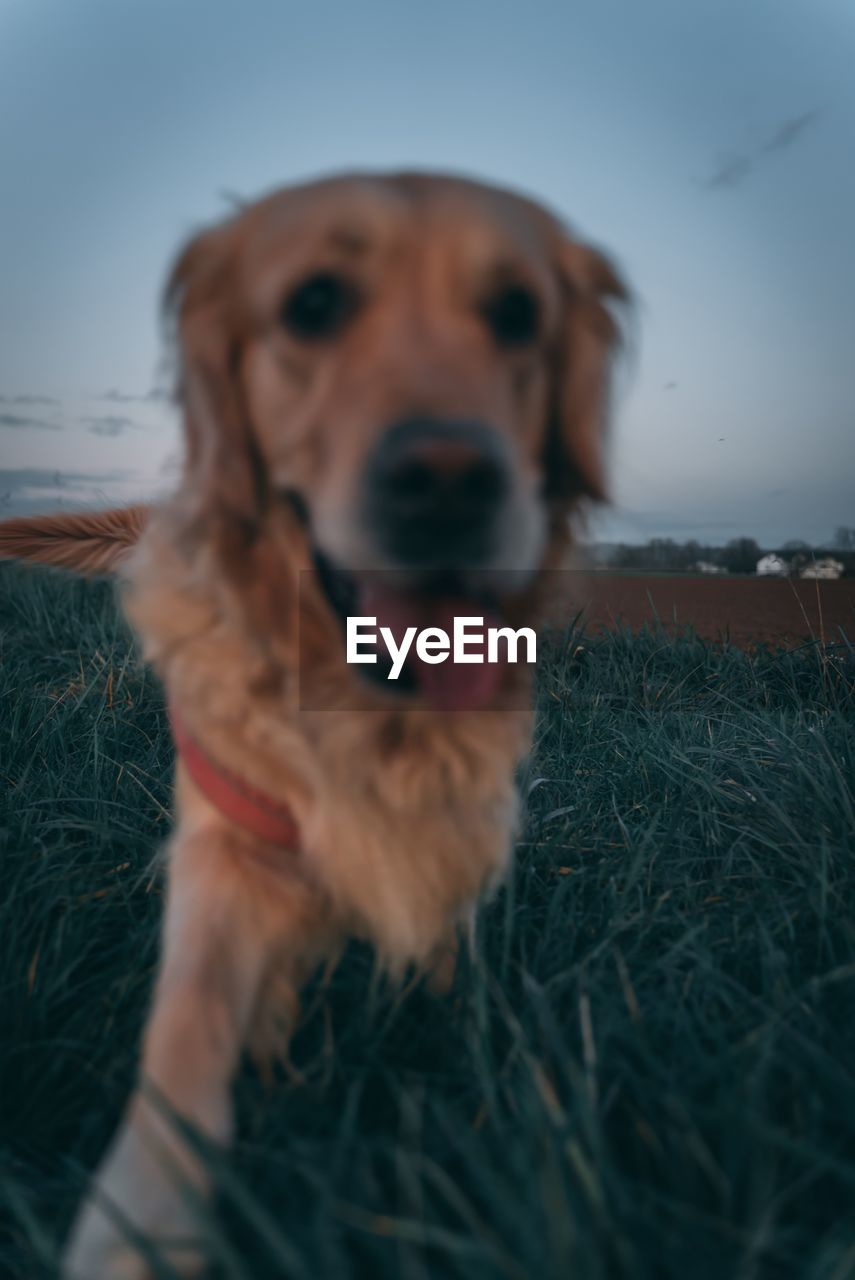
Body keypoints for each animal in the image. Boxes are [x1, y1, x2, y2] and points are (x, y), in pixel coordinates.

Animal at [0, 172, 627, 1280]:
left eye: (517, 313)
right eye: (313, 304)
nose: (449, 478)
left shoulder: (459, 828)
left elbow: (448, 963)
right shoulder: (230, 846)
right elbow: (191, 1026)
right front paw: (141, 1220)